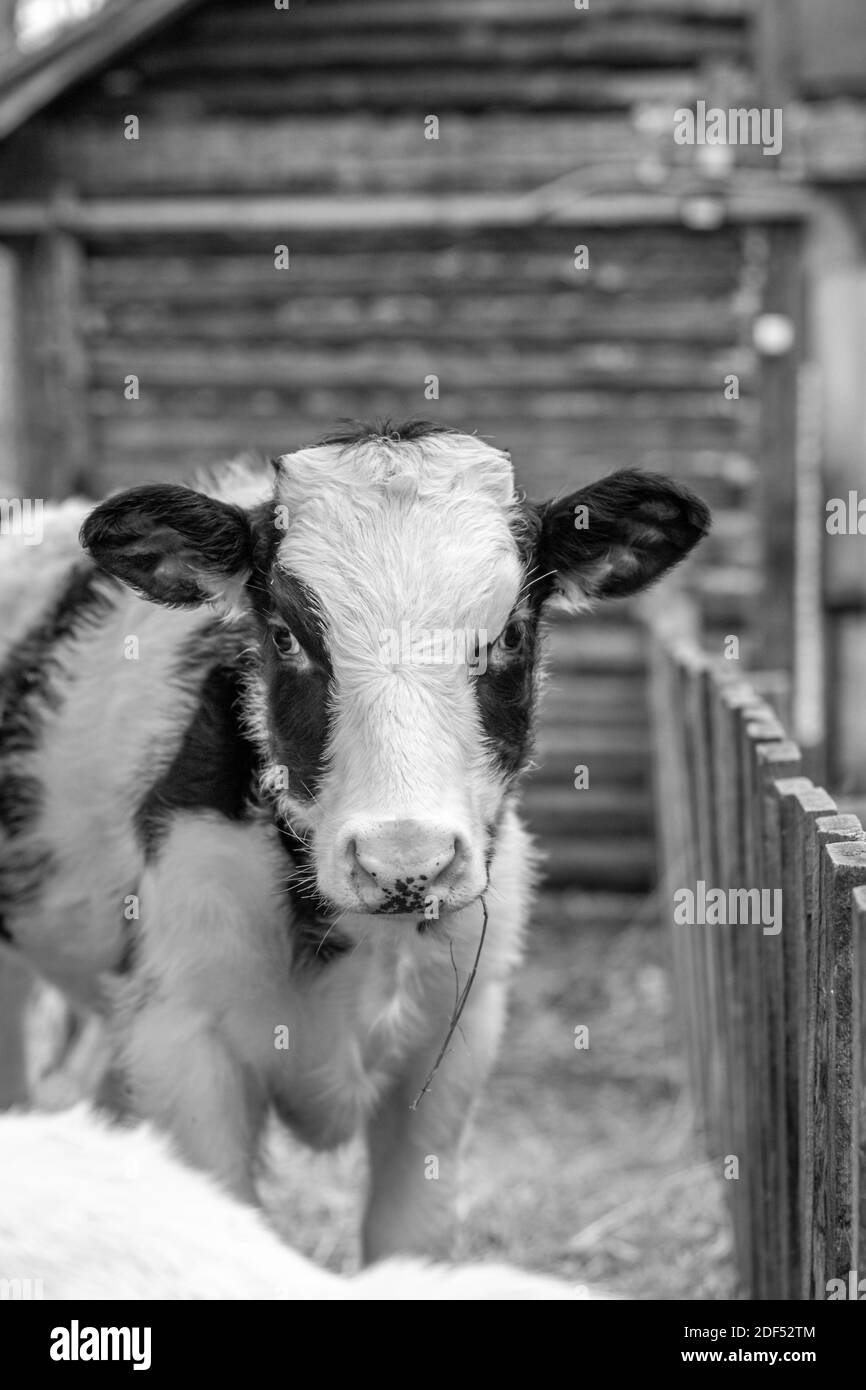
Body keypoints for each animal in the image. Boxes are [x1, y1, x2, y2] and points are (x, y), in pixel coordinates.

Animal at [0, 420, 710, 1264]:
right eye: (286, 636)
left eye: (509, 633)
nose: (405, 862)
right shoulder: (183, 1036)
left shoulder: (457, 1038)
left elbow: (409, 1238)